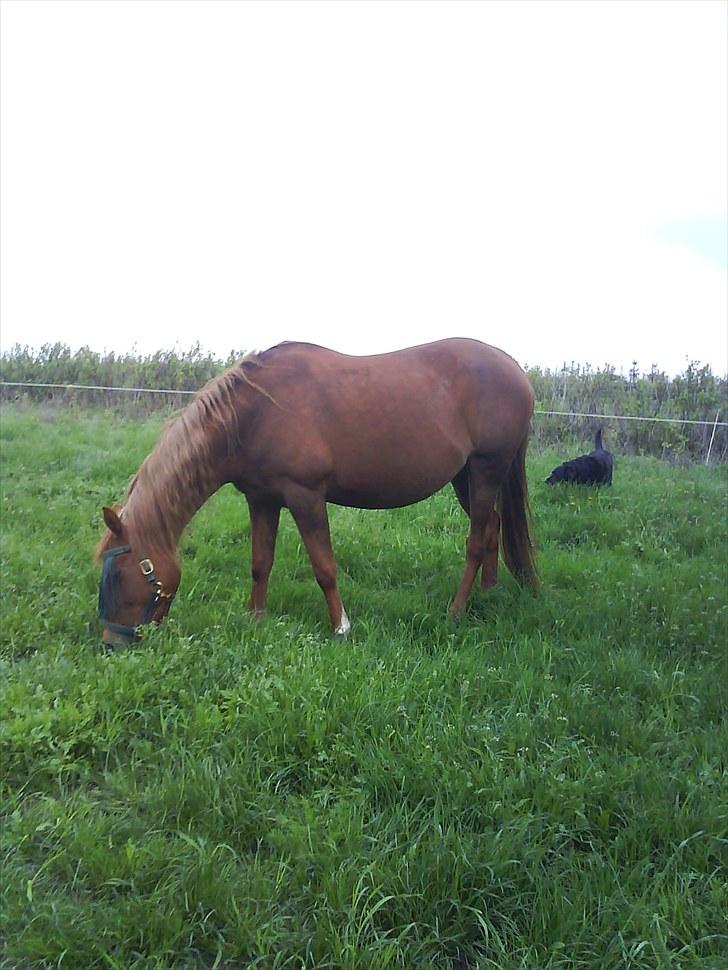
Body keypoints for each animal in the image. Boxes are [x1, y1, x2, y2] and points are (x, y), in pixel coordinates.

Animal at [96, 336, 536, 648]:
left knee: (476, 541)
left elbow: (324, 567)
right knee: (492, 527)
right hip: (466, 477)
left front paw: (341, 628)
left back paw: (456, 611)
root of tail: (517, 371)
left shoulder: (305, 496)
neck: (254, 412)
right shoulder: (261, 499)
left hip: (486, 469)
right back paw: (489, 592)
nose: (111, 643)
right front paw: (256, 618)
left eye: (119, 573)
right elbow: (260, 562)